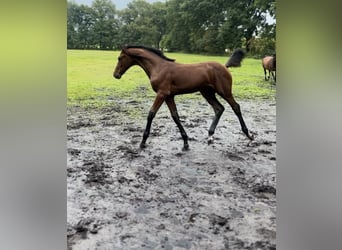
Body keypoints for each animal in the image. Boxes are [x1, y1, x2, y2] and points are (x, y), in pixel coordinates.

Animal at [114, 45, 254, 150]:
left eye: (120, 58)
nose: (115, 75)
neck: (158, 67)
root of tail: (225, 66)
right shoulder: (169, 96)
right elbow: (175, 116)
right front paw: (186, 142)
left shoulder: (162, 94)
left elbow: (151, 114)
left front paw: (143, 142)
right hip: (207, 93)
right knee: (219, 108)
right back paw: (210, 136)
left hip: (224, 91)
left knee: (235, 107)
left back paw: (249, 136)